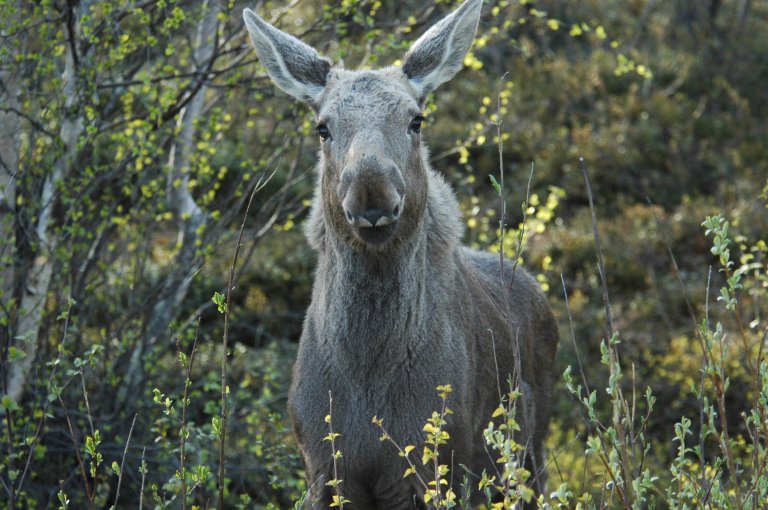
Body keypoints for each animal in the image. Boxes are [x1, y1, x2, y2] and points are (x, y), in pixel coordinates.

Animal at [243, 0, 556, 506]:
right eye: (323, 127)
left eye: (416, 119)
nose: (371, 192)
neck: (369, 367)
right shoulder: (324, 467)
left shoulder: (437, 464)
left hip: (531, 453)